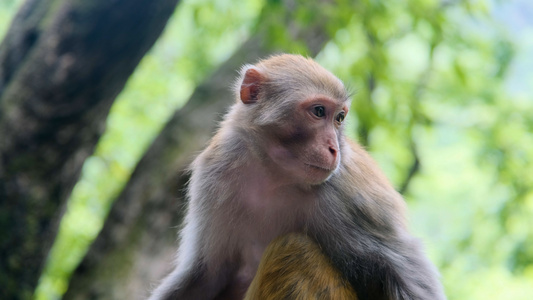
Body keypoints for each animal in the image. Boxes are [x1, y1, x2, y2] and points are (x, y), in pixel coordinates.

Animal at [148, 54, 442, 300]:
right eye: (319, 112)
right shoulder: (214, 174)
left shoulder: (346, 195)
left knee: (294, 248)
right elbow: (207, 275)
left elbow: (407, 272)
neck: (274, 174)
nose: (334, 149)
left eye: (339, 117)